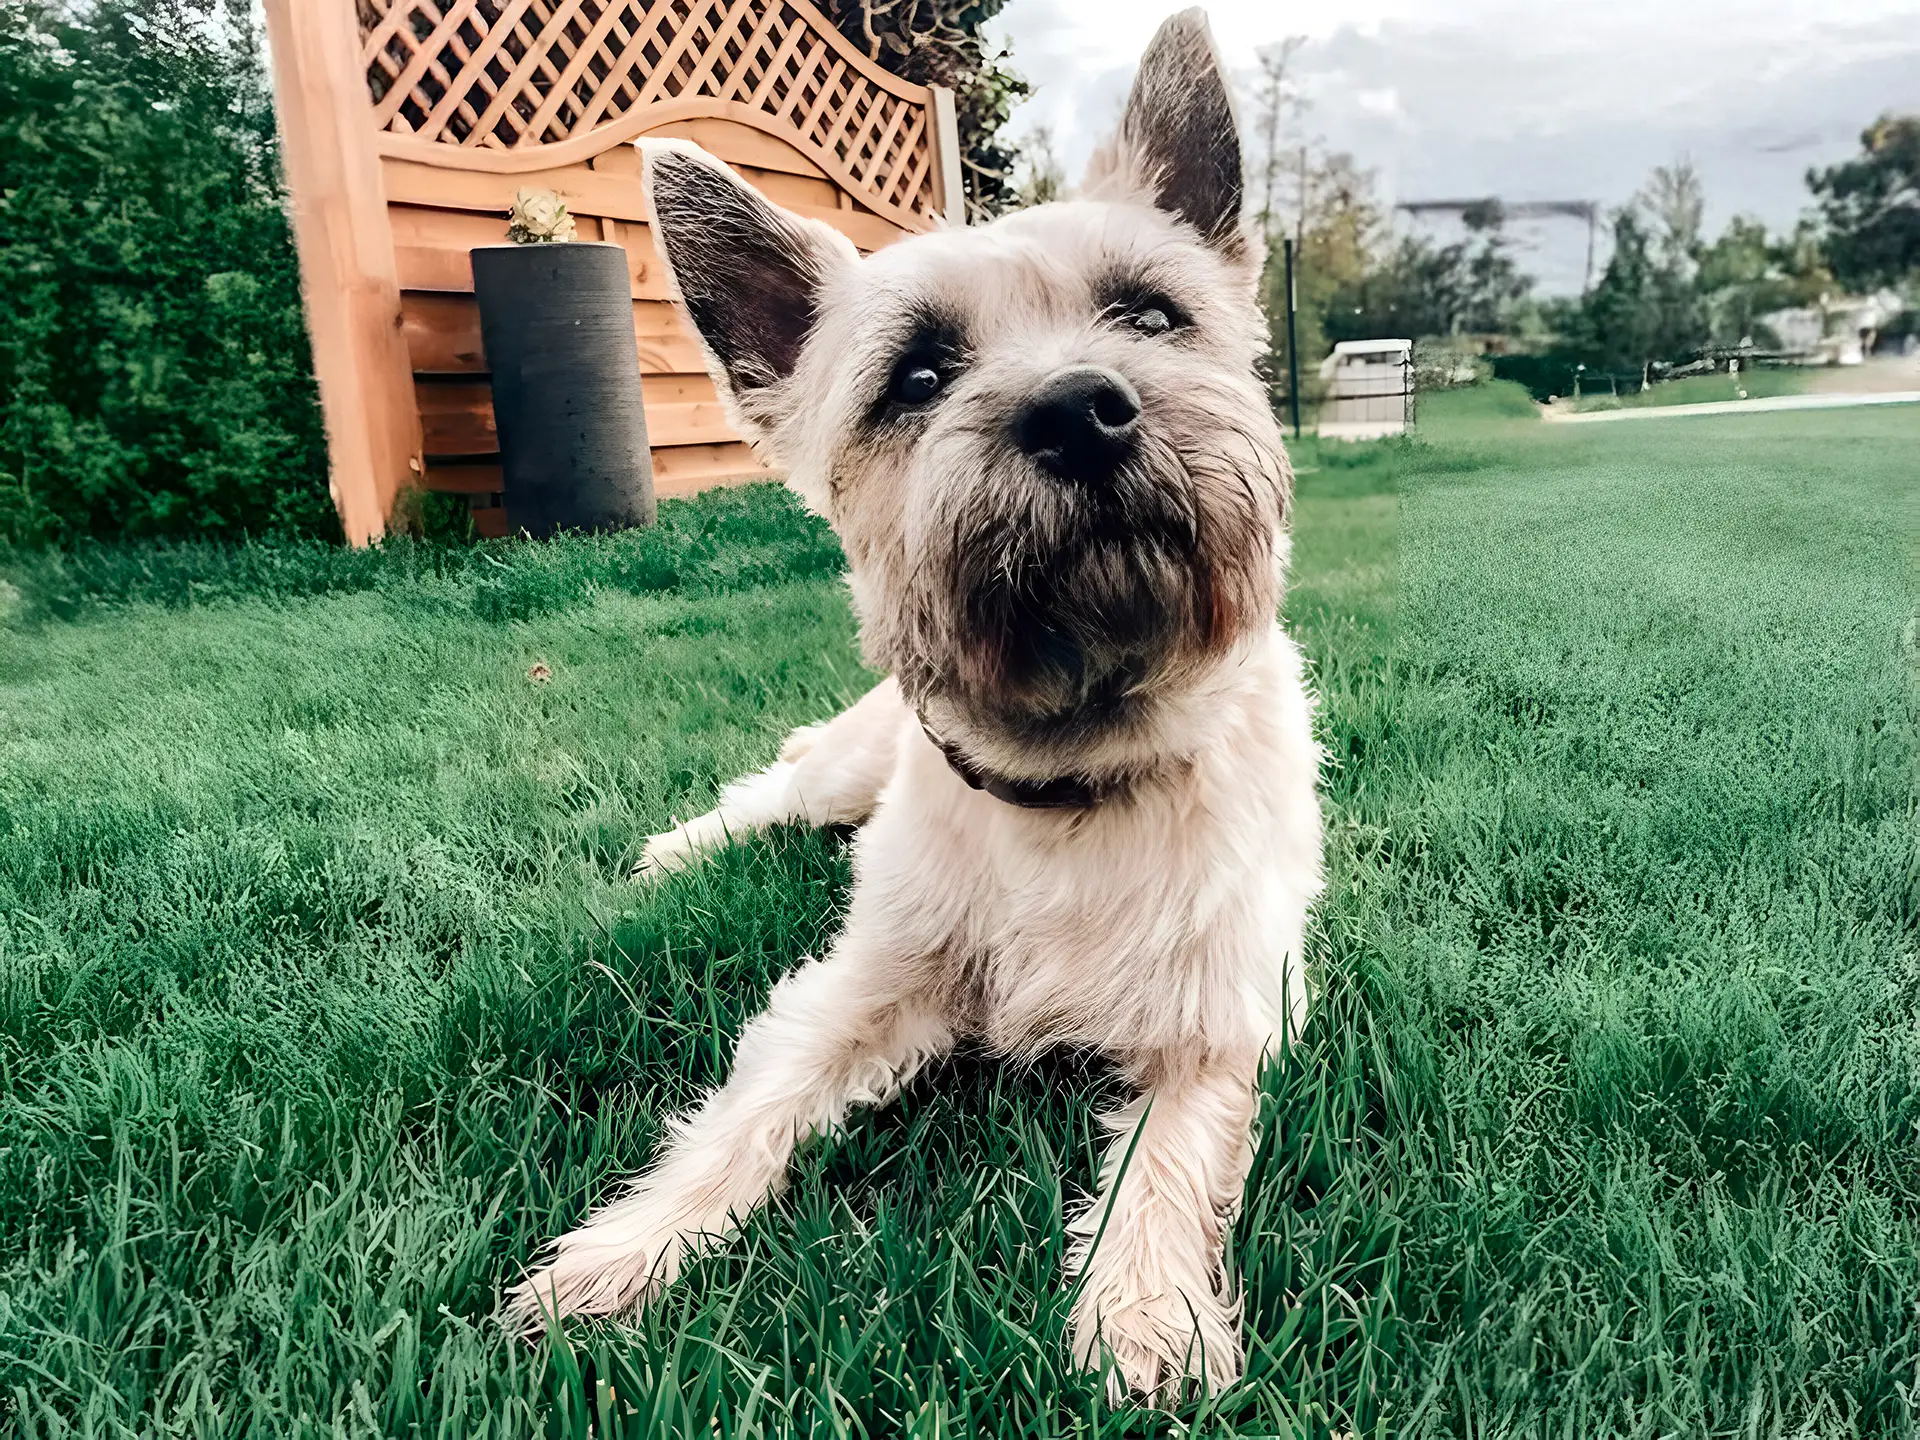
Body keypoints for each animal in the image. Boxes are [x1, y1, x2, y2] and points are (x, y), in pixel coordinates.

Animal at [506, 11, 1320, 1405]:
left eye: (1150, 314)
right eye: (918, 374)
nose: (1080, 410)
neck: (1070, 783)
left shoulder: (1219, 1026)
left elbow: (1164, 1161)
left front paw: (1142, 1312)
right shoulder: (854, 990)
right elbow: (743, 1114)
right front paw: (627, 1247)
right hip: (841, 769)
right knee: (765, 791)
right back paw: (669, 855)